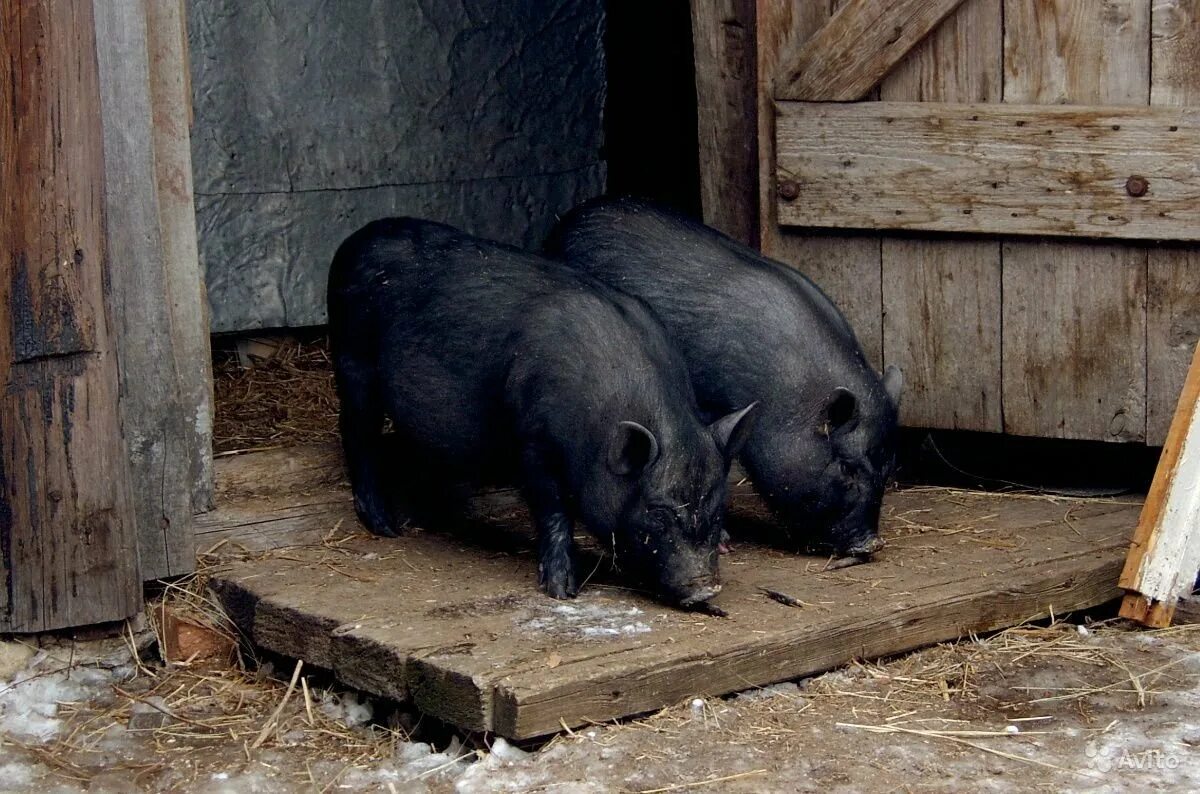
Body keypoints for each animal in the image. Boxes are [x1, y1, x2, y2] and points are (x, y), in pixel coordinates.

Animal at [326, 218, 758, 604]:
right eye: (658, 513)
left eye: (716, 507)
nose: (705, 589)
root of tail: (356, 239)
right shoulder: (533, 441)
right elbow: (554, 510)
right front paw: (563, 591)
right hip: (352, 360)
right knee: (358, 432)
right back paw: (386, 527)